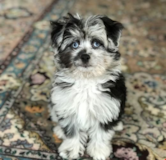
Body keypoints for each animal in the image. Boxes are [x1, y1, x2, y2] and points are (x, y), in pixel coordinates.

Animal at [48, 14, 126, 160]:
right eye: (74, 44)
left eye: (96, 43)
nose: (84, 56)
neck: (86, 80)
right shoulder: (66, 105)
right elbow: (72, 130)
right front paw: (70, 150)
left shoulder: (106, 108)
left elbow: (101, 133)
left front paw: (99, 151)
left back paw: (117, 125)